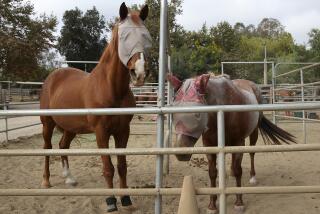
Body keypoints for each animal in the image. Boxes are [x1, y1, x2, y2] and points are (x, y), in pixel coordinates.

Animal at [40, 2, 152, 212]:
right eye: (123, 36)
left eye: (146, 36)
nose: (140, 72)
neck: (110, 88)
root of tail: (52, 77)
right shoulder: (101, 132)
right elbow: (108, 168)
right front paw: (111, 201)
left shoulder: (123, 131)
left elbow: (122, 166)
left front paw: (126, 199)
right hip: (47, 124)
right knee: (47, 148)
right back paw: (46, 181)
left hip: (71, 127)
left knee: (63, 146)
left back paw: (69, 179)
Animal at [168, 74, 296, 214]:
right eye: (173, 113)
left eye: (197, 114)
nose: (181, 153)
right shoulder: (210, 145)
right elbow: (212, 172)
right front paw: (212, 204)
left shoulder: (239, 143)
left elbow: (238, 170)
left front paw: (239, 202)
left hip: (254, 132)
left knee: (251, 153)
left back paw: (252, 177)